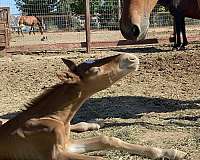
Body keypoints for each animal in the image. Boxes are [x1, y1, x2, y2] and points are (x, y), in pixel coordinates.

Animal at [0, 54, 186, 160]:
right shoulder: (55, 154)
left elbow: (108, 139)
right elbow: (99, 158)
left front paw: (171, 152)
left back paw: (95, 123)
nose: (131, 57)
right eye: (95, 70)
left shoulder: (67, 144)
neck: (56, 118)